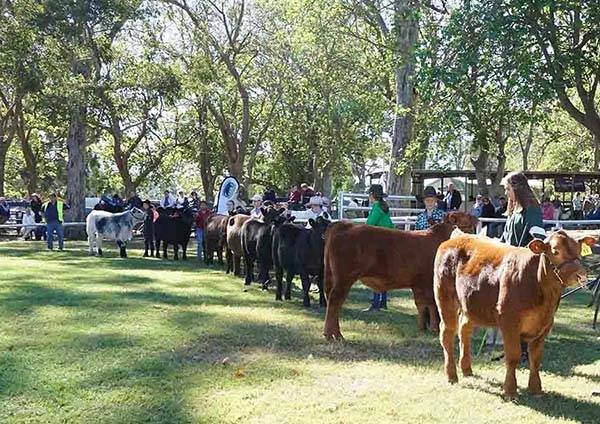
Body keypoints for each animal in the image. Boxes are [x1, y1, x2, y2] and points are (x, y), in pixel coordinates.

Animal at [324, 212, 478, 342]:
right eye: (466, 217)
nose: (476, 218)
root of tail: (345, 225)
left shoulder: (418, 284)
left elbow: (421, 304)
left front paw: (422, 328)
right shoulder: (430, 282)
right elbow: (432, 305)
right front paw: (434, 328)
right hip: (344, 279)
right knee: (335, 302)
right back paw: (336, 335)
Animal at [432, 230, 596, 400]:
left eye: (579, 251)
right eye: (556, 251)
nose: (581, 275)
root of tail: (459, 235)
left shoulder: (545, 325)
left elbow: (536, 358)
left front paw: (536, 388)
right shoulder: (509, 323)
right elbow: (513, 356)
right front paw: (510, 390)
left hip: (470, 305)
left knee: (464, 330)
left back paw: (467, 370)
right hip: (445, 300)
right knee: (447, 333)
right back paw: (451, 375)